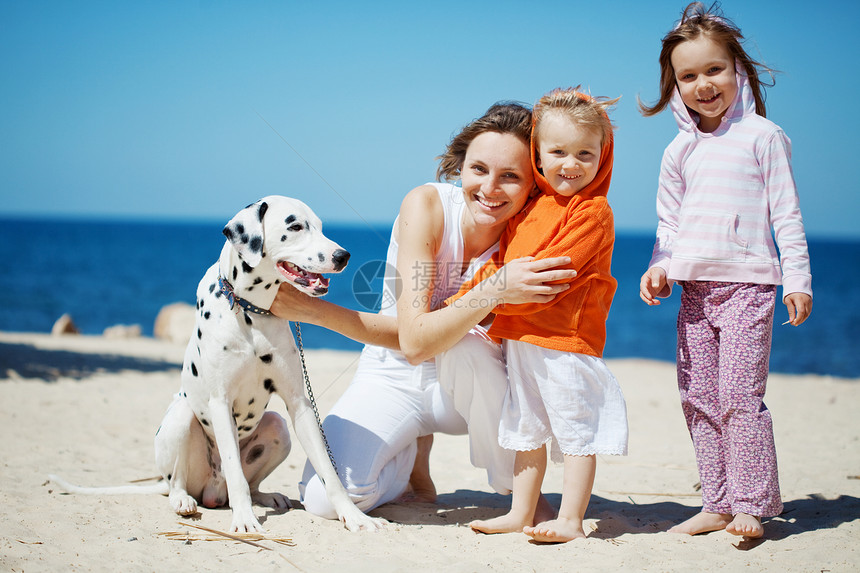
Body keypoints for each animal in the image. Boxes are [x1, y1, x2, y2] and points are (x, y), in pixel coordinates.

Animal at [53, 197, 386, 532]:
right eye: (295, 226)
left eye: (320, 226)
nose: (342, 256)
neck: (250, 311)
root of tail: (213, 489)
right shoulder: (220, 402)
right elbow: (234, 470)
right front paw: (244, 520)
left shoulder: (299, 404)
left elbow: (328, 472)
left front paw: (353, 516)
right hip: (181, 419)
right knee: (180, 482)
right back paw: (184, 500)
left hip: (279, 427)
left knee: (251, 482)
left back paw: (265, 496)